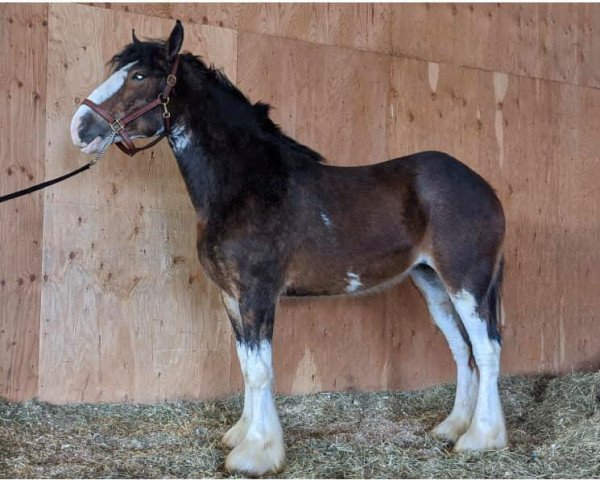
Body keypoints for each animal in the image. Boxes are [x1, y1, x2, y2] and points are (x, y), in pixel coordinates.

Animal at [70, 20, 508, 474]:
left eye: (139, 76)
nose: (79, 127)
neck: (247, 185)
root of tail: (485, 189)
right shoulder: (232, 297)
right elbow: (248, 366)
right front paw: (242, 436)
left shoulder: (258, 293)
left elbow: (261, 371)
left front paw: (256, 454)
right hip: (434, 285)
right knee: (462, 350)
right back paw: (452, 427)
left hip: (467, 284)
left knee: (487, 350)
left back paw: (480, 438)